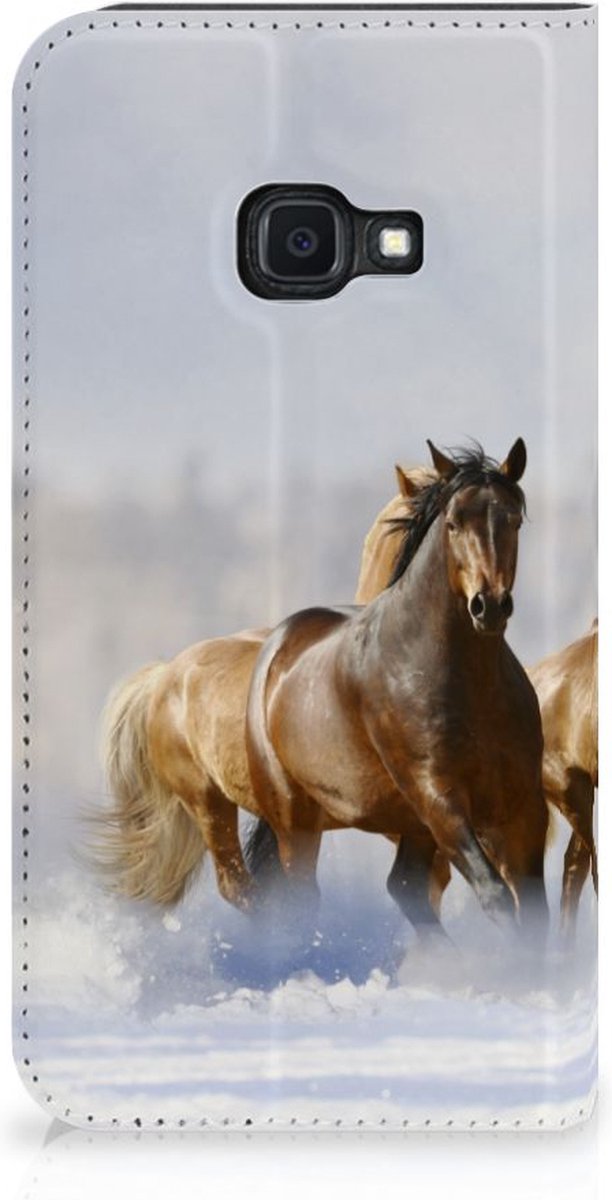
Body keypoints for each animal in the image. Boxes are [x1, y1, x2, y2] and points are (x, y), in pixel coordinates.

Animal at [244, 439, 549, 938]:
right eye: (453, 522)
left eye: (513, 520)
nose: (489, 606)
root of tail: (278, 645)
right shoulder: (439, 798)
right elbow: (496, 896)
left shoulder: (522, 805)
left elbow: (535, 913)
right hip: (296, 819)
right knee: (302, 898)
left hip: (411, 826)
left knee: (405, 886)